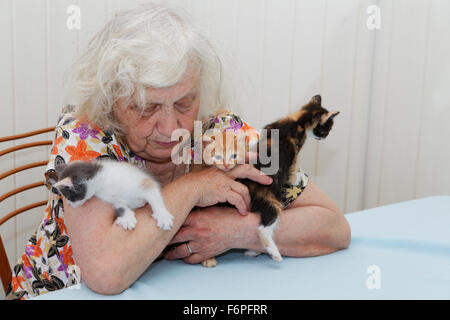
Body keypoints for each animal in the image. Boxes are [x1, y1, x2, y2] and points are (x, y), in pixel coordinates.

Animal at [200, 95, 338, 268]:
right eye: (326, 129)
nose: (325, 136)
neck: (298, 121)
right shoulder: (293, 151)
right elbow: (292, 170)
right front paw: (297, 178)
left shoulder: (268, 129)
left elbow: (255, 142)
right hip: (271, 200)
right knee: (263, 228)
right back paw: (273, 253)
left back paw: (253, 252)